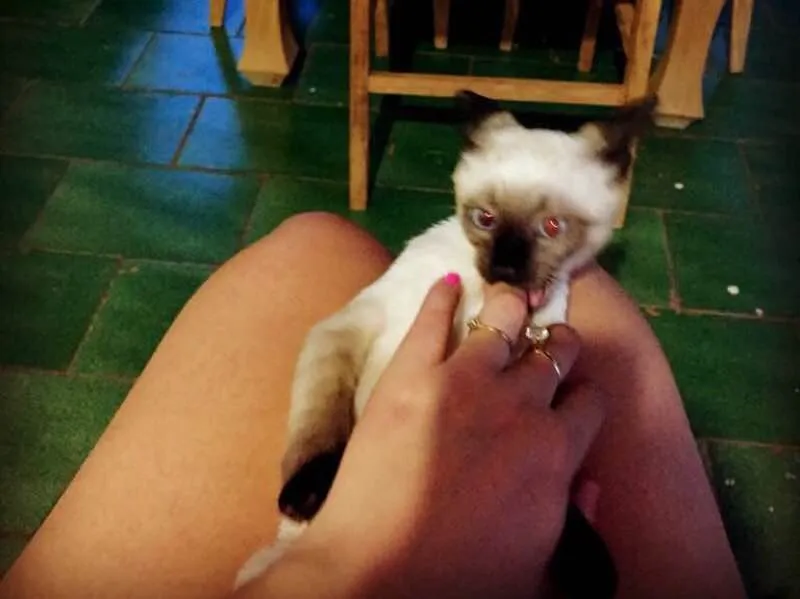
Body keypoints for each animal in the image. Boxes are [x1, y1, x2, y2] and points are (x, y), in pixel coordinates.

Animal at [234, 90, 657, 597]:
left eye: (553, 227)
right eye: (485, 219)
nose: (505, 268)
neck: (486, 299)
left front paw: (590, 569)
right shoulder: (347, 327)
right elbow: (321, 424)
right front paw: (309, 493)